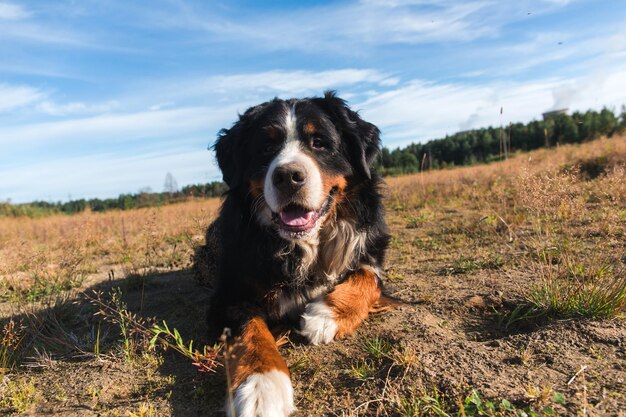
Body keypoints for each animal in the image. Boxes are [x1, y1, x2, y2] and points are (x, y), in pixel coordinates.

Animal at [202, 92, 390, 416]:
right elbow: (252, 329)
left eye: (320, 142)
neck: (301, 248)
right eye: (266, 147)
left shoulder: (371, 253)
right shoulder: (229, 295)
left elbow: (367, 276)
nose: (289, 176)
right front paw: (261, 386)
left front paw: (326, 315)